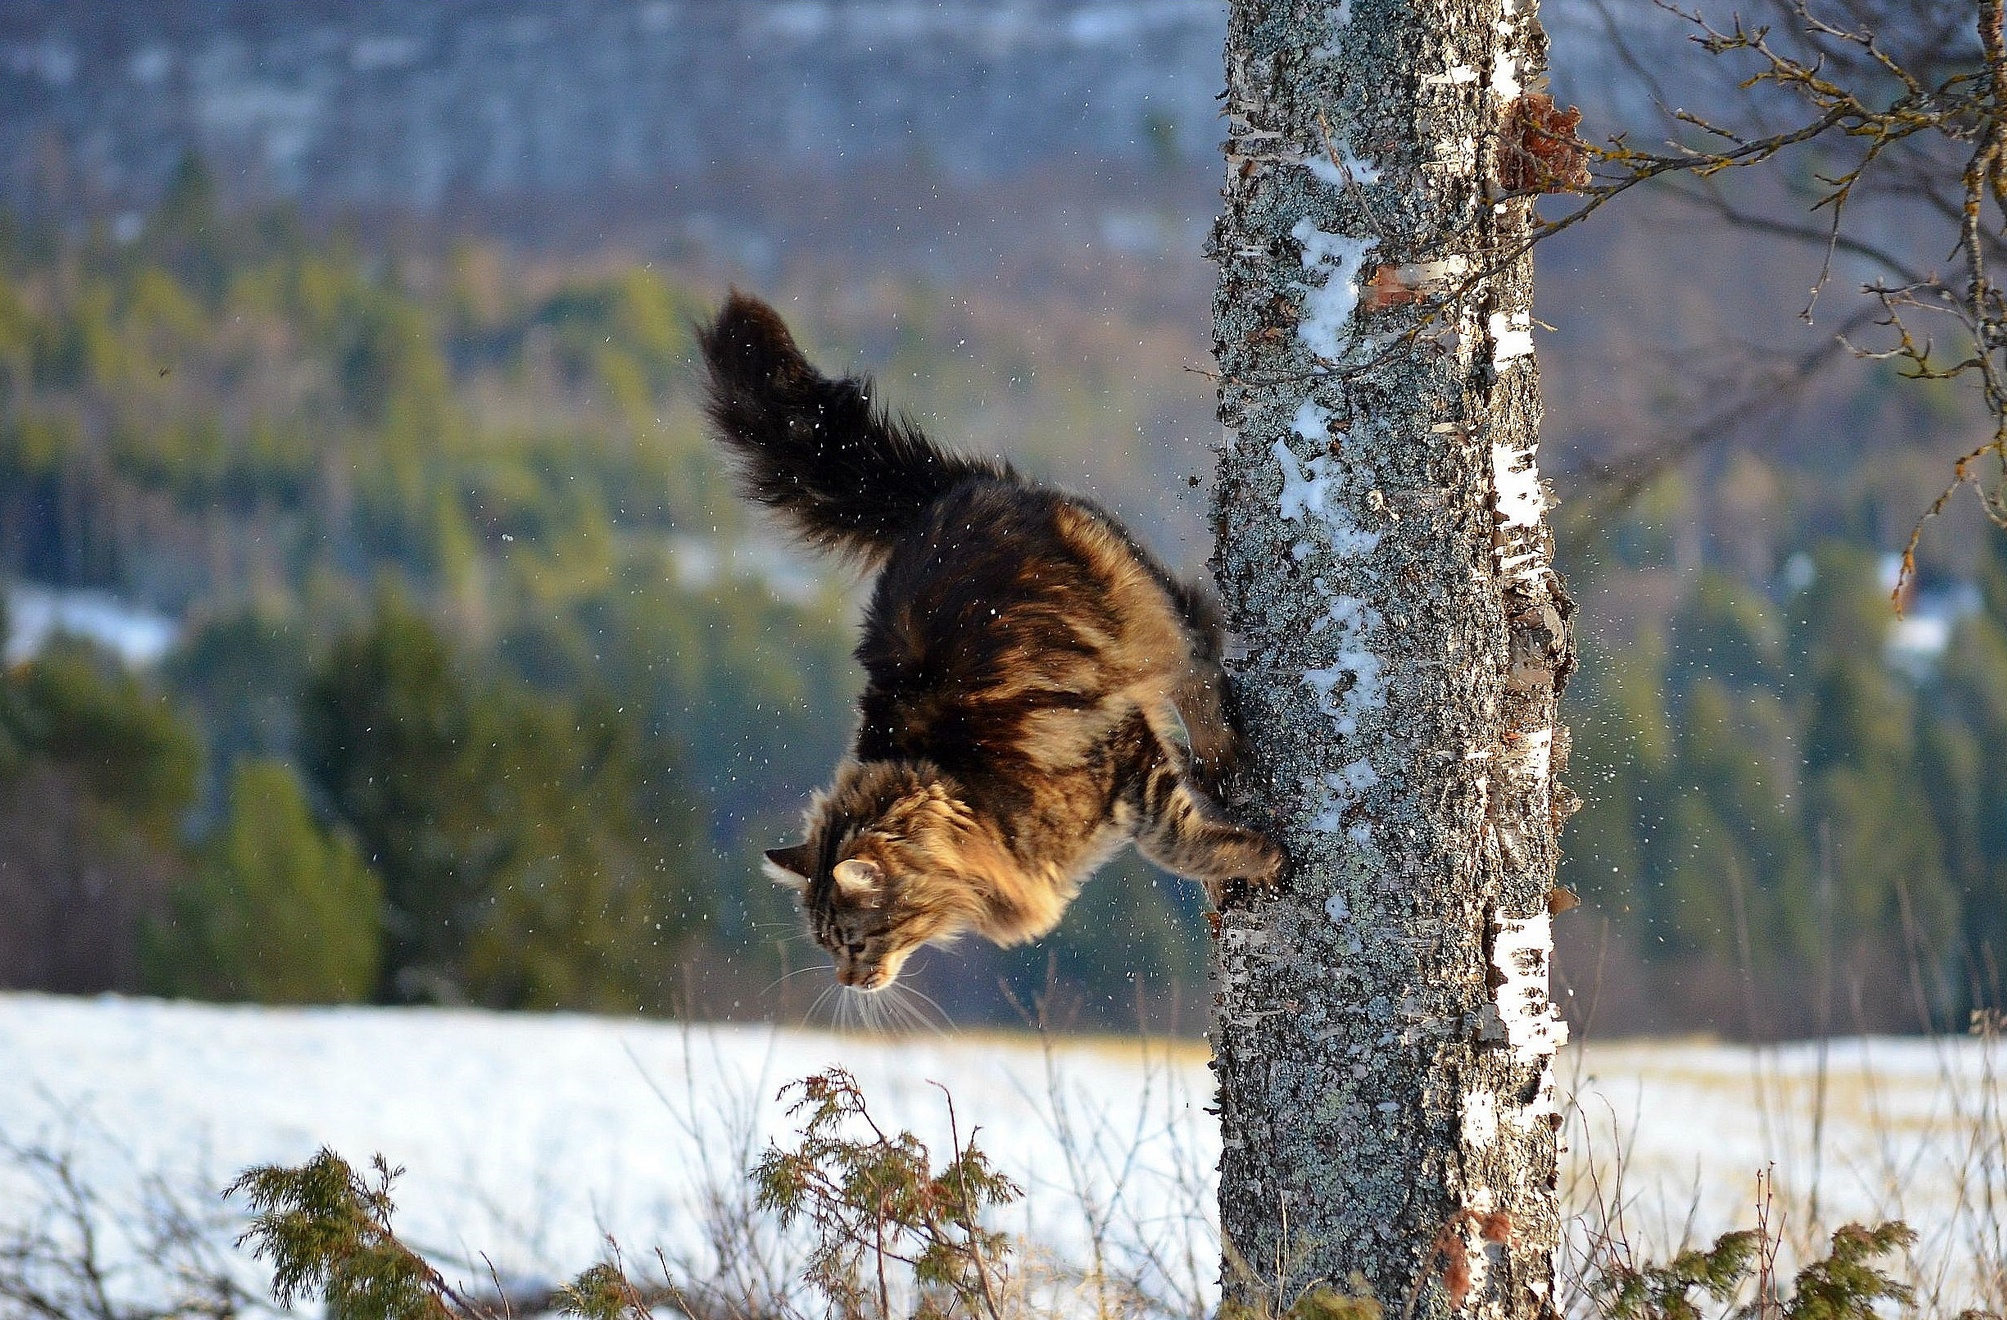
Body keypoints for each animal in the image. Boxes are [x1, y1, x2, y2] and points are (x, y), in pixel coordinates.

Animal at [698, 290, 1276, 986]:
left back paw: (1221, 754)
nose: (850, 982)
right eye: (824, 945)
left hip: (1145, 615)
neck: (964, 792)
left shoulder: (1118, 751)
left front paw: (1259, 860)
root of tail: (950, 493)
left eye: (854, 940)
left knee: (1199, 666)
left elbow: (1176, 842)